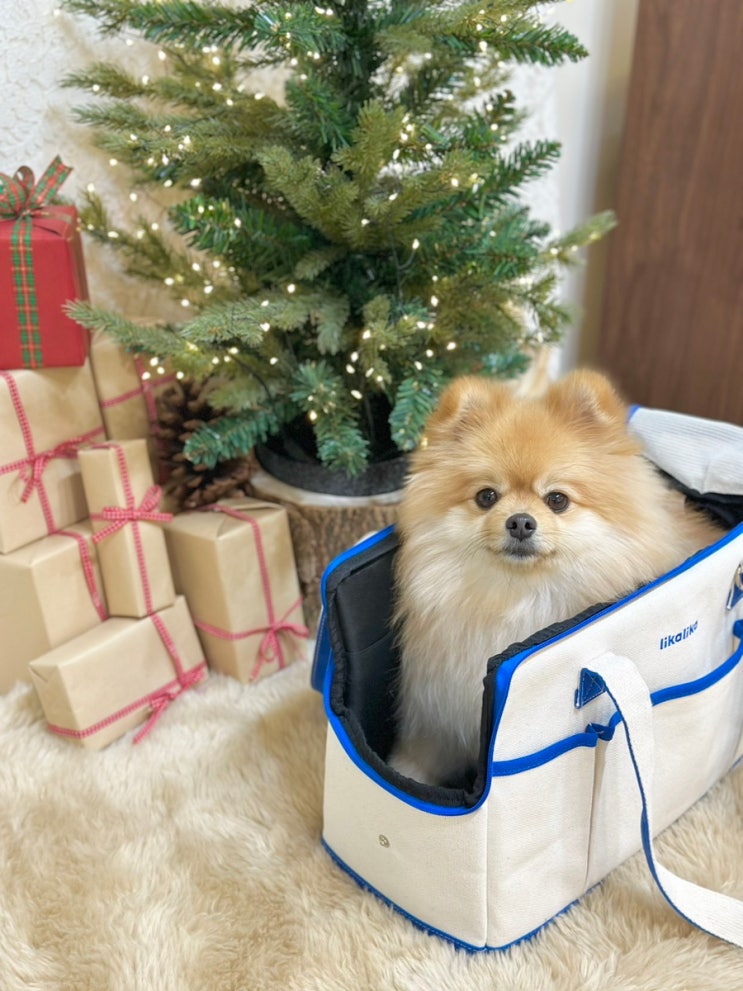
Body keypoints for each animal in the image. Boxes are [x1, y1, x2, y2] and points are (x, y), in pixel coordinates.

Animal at [389, 369, 723, 787]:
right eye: (486, 496)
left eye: (557, 500)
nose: (520, 522)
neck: (521, 598)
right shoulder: (438, 711)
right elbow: (420, 760)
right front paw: (402, 775)